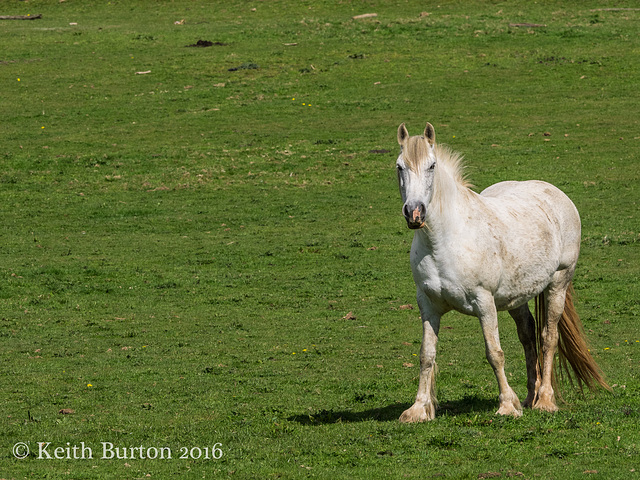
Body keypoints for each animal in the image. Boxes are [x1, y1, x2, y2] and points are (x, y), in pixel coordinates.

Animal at [396, 122, 608, 422]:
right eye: (399, 166)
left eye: (432, 166)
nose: (414, 213)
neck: (444, 241)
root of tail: (554, 192)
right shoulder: (427, 304)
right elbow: (427, 354)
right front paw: (418, 409)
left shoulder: (484, 302)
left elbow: (494, 353)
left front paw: (507, 404)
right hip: (517, 296)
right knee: (528, 334)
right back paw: (530, 397)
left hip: (558, 282)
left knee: (548, 337)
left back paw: (545, 399)